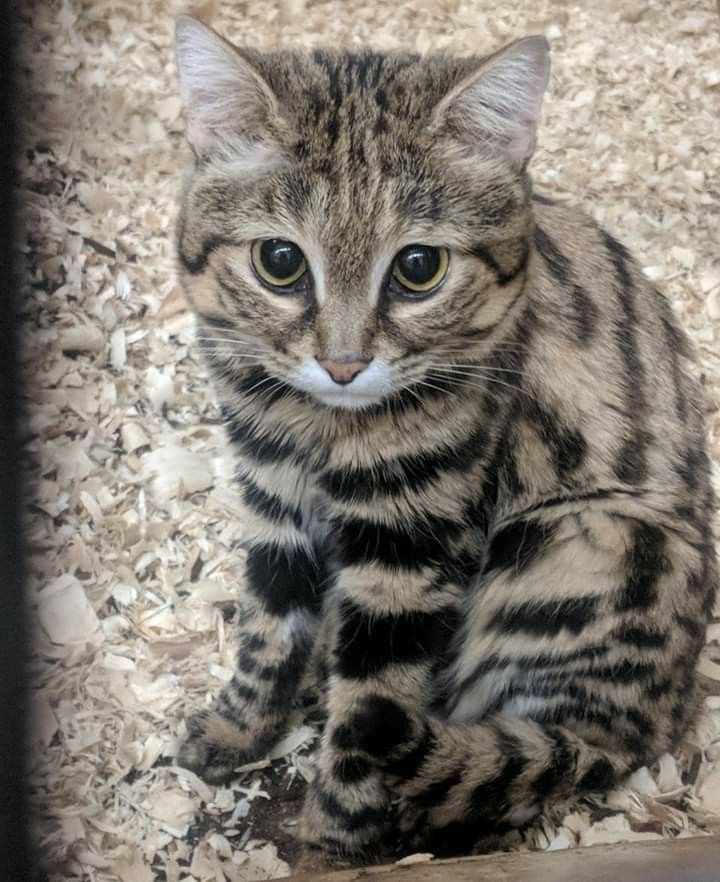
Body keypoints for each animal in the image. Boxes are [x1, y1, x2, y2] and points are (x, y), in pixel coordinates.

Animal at [170, 18, 716, 860]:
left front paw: (331, 842)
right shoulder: (272, 493)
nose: (343, 364)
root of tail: (657, 723)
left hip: (581, 548)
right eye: (280, 260)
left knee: (524, 755)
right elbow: (267, 628)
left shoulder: (411, 535)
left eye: (419, 267)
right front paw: (237, 731)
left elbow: (372, 706)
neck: (319, 428)